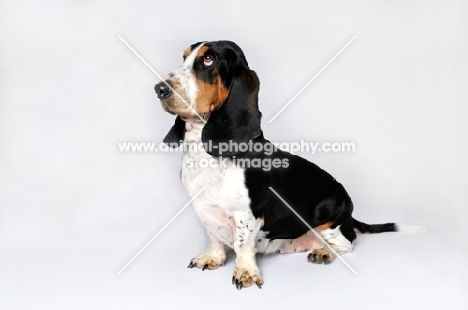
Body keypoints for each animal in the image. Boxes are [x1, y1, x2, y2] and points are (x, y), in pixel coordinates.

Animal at [154, 40, 424, 290]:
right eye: (184, 57)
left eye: (208, 59)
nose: (159, 89)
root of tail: (350, 213)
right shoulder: (204, 210)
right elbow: (214, 238)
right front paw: (213, 258)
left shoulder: (248, 214)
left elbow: (242, 244)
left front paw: (246, 272)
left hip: (330, 216)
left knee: (346, 243)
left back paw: (324, 252)